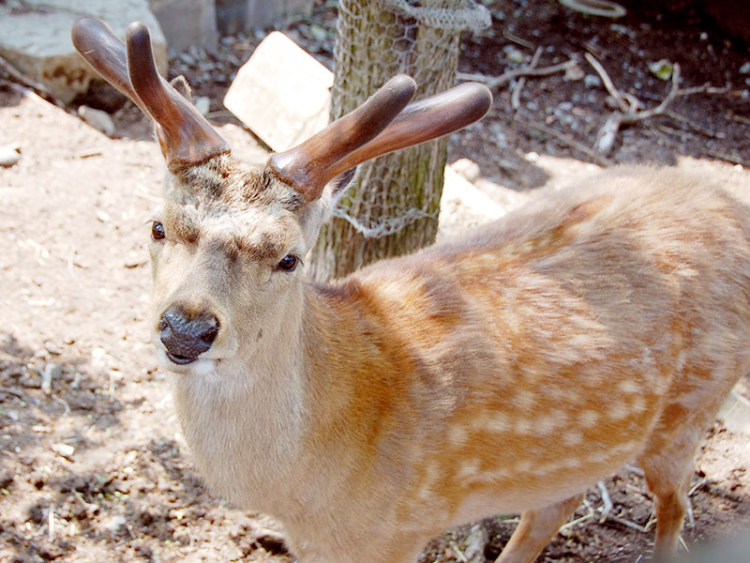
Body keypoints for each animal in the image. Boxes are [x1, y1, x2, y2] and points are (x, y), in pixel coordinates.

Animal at [73, 17, 750, 563]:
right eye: (158, 226)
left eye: (290, 258)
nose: (186, 329)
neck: (306, 488)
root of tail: (729, 202)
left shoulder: (397, 531)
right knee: (556, 504)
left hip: (692, 408)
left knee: (676, 507)